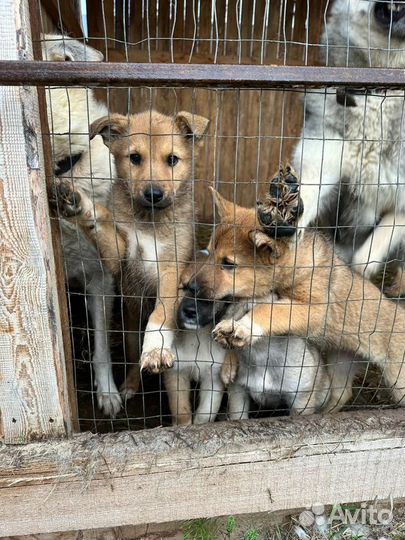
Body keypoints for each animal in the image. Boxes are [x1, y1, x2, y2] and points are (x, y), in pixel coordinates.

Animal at [58, 109, 210, 396]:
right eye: (135, 158)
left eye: (172, 159)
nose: (153, 193)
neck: (148, 220)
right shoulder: (120, 258)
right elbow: (102, 223)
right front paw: (81, 205)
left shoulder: (172, 267)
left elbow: (161, 311)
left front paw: (155, 349)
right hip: (128, 332)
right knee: (130, 359)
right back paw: (128, 386)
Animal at [178, 167, 404, 408]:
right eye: (209, 252)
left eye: (228, 264)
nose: (189, 285)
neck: (291, 273)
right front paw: (230, 361)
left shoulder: (314, 309)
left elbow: (272, 310)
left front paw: (245, 327)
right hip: (341, 364)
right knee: (342, 394)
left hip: (397, 382)